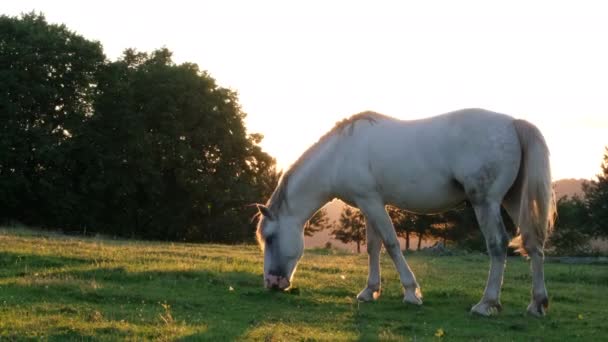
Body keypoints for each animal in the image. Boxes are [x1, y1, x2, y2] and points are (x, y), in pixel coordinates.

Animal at [256, 108, 556, 316]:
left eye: (270, 237)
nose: (271, 283)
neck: (339, 155)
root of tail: (513, 123)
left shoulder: (372, 202)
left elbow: (391, 244)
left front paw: (411, 293)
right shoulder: (369, 203)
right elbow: (373, 247)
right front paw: (369, 291)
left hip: (486, 202)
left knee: (498, 245)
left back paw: (486, 303)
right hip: (512, 201)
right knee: (533, 244)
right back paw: (537, 304)